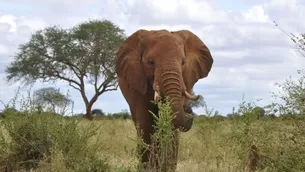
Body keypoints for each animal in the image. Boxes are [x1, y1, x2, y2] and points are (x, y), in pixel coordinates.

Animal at [115, 28, 213, 170]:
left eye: (183, 62)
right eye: (150, 62)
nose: (188, 109)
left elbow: (171, 127)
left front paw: (165, 168)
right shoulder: (138, 82)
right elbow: (145, 124)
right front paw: (147, 168)